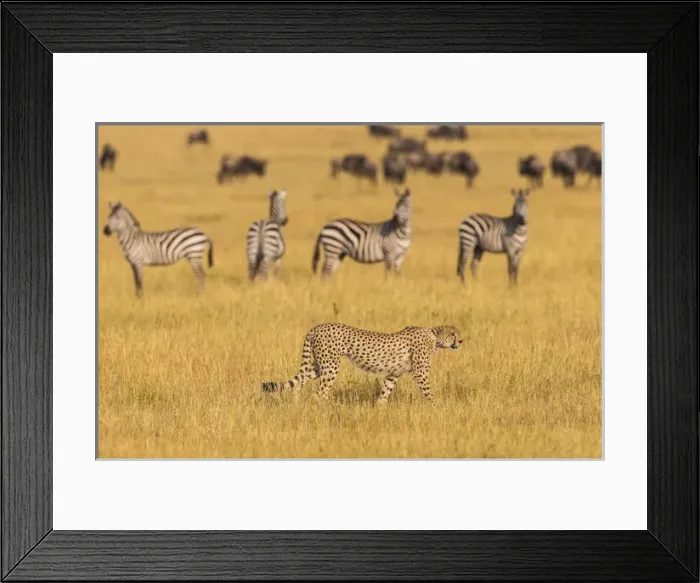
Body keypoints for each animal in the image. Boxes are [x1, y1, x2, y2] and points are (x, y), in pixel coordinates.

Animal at [260, 323, 462, 405]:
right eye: (453, 334)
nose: (461, 341)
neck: (434, 337)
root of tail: (317, 327)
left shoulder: (393, 374)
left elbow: (385, 392)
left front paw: (379, 409)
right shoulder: (420, 374)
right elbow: (430, 394)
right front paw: (438, 409)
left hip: (319, 365)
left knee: (299, 382)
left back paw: (296, 406)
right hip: (331, 365)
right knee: (320, 392)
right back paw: (330, 409)